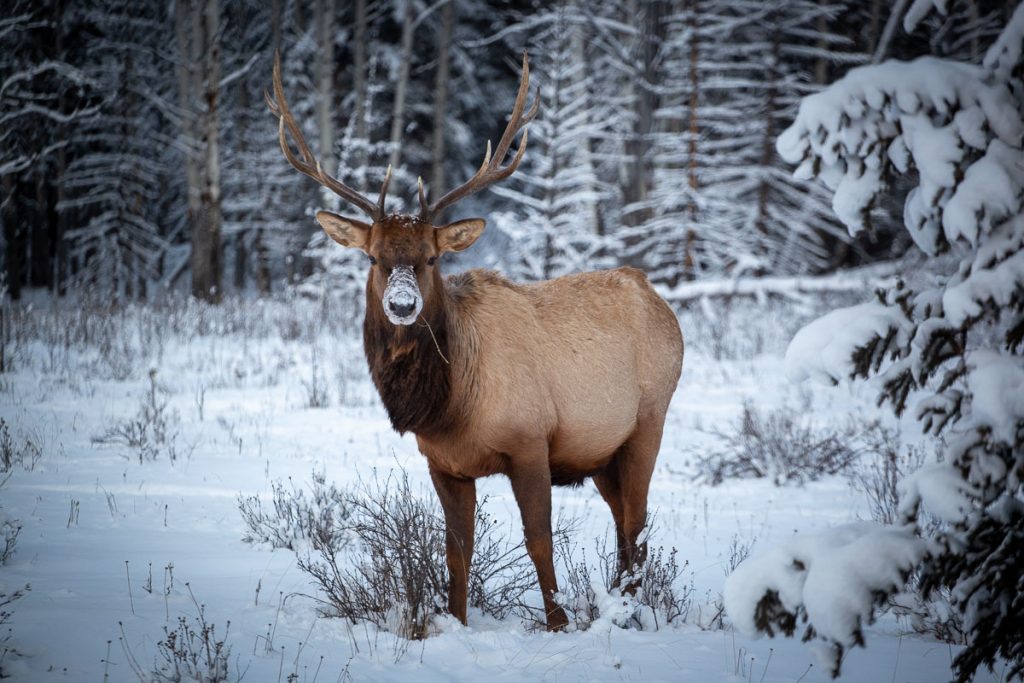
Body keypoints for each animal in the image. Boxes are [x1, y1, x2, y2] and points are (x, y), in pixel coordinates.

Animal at [267, 52, 684, 632]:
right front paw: (456, 621)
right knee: (625, 522)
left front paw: (558, 622)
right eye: (373, 258)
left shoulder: (530, 440)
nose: (402, 305)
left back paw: (631, 610)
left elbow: (539, 539)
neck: (451, 405)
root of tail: (657, 297)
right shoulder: (443, 462)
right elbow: (456, 549)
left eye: (432, 257)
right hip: (601, 452)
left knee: (637, 524)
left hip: (649, 419)